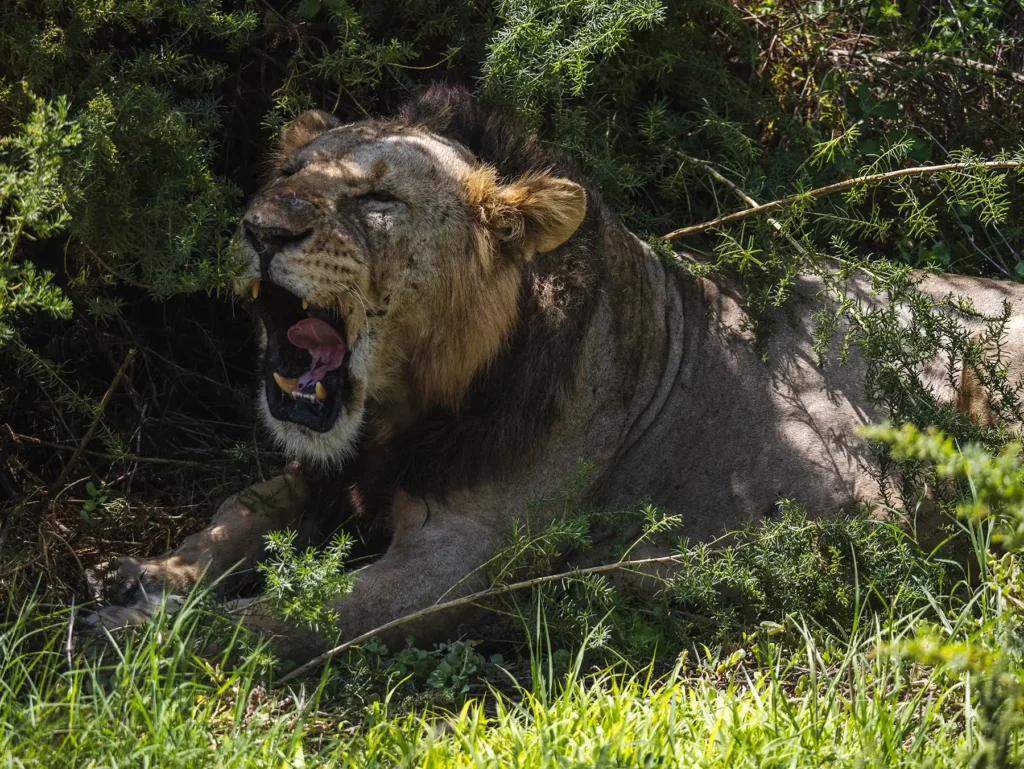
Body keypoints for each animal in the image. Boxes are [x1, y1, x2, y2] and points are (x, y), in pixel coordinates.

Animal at [100, 85, 1024, 661]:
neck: (407, 408)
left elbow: (277, 619)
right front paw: (154, 574)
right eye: (290, 175)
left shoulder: (450, 574)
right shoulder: (333, 471)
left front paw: (129, 634)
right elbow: (238, 510)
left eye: (377, 202)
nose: (262, 229)